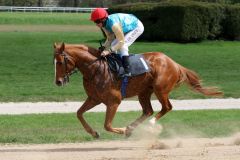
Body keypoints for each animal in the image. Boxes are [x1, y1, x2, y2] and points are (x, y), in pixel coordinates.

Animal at [53, 42, 222, 138]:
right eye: (53, 61)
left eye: (60, 62)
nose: (58, 82)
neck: (95, 69)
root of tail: (173, 63)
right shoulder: (94, 99)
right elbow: (79, 113)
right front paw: (94, 133)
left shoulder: (114, 101)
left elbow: (108, 125)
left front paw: (122, 130)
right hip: (144, 92)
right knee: (148, 110)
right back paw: (132, 127)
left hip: (160, 89)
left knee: (166, 107)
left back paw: (149, 125)